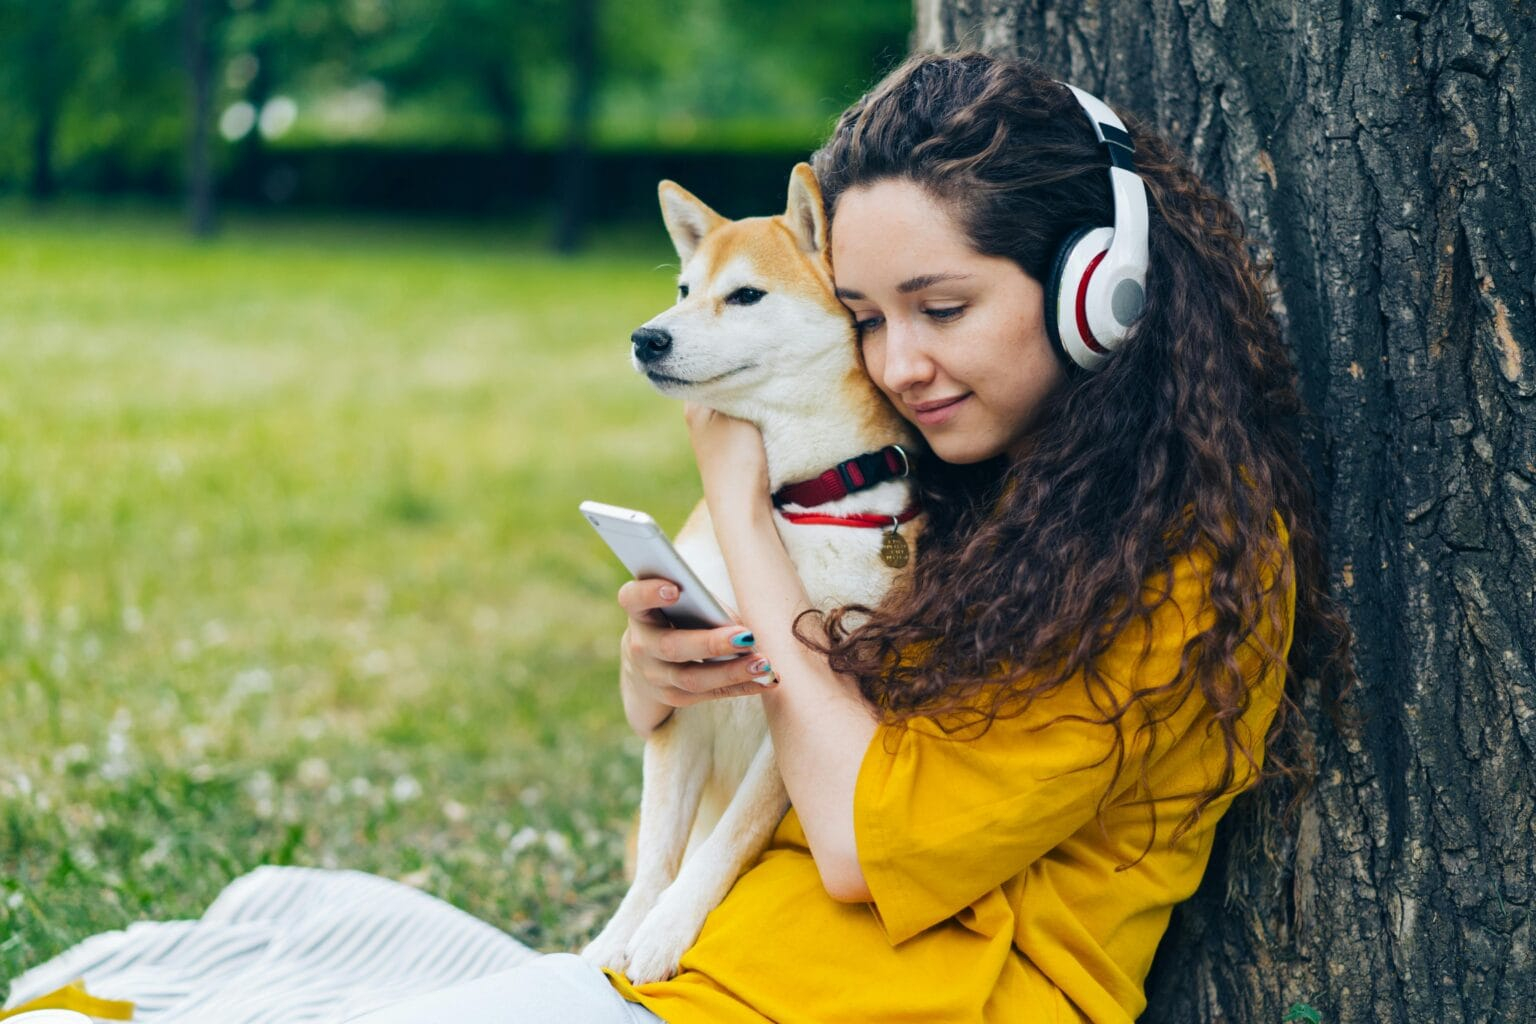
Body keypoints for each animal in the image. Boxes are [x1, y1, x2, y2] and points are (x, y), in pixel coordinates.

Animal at [580, 166, 921, 982]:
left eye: (744, 296)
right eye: (682, 289)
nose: (646, 336)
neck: (786, 504)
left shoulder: (802, 704)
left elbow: (722, 845)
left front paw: (667, 931)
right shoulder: (683, 707)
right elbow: (660, 855)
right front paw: (618, 936)